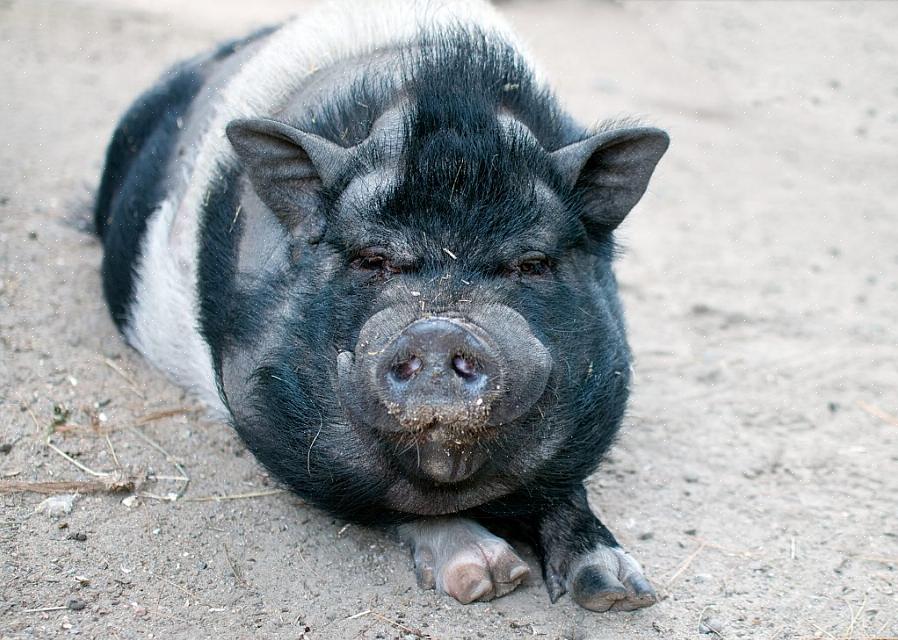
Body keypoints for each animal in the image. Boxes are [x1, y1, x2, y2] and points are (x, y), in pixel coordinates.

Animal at [93, 0, 664, 612]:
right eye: (373, 258)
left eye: (531, 264)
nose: (440, 329)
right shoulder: (267, 415)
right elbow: (386, 502)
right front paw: (490, 578)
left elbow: (565, 490)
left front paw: (622, 592)